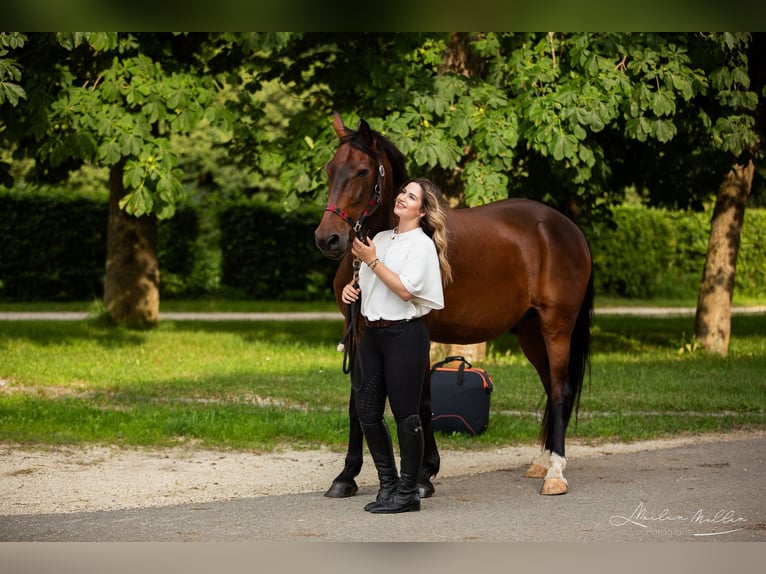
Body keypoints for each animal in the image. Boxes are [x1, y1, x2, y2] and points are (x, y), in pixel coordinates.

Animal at [314, 112, 593, 496]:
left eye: (361, 171)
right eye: (330, 169)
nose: (328, 239)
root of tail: (567, 228)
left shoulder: (418, 333)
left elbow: (421, 402)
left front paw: (423, 476)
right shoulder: (359, 335)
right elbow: (359, 403)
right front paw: (346, 476)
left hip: (557, 328)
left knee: (562, 391)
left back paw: (555, 473)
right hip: (531, 332)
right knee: (551, 388)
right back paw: (542, 462)